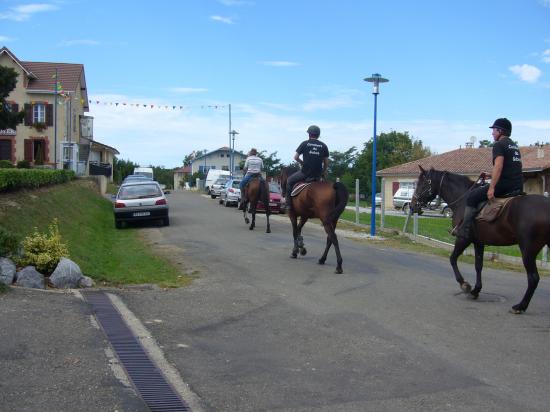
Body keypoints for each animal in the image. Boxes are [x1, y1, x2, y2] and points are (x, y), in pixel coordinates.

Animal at [414, 166, 550, 314]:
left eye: (421, 183)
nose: (412, 205)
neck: (463, 199)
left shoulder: (463, 239)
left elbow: (452, 258)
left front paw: (465, 285)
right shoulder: (479, 242)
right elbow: (478, 266)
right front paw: (476, 290)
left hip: (527, 250)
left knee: (533, 278)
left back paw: (520, 306)